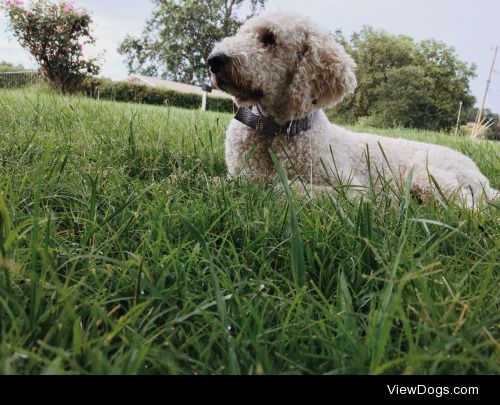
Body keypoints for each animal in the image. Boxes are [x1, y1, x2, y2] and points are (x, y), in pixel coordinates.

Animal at [208, 11, 496, 208]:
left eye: (269, 38)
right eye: (241, 32)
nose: (213, 60)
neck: (275, 130)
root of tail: (485, 180)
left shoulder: (353, 188)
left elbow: (283, 187)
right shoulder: (239, 172)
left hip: (428, 175)